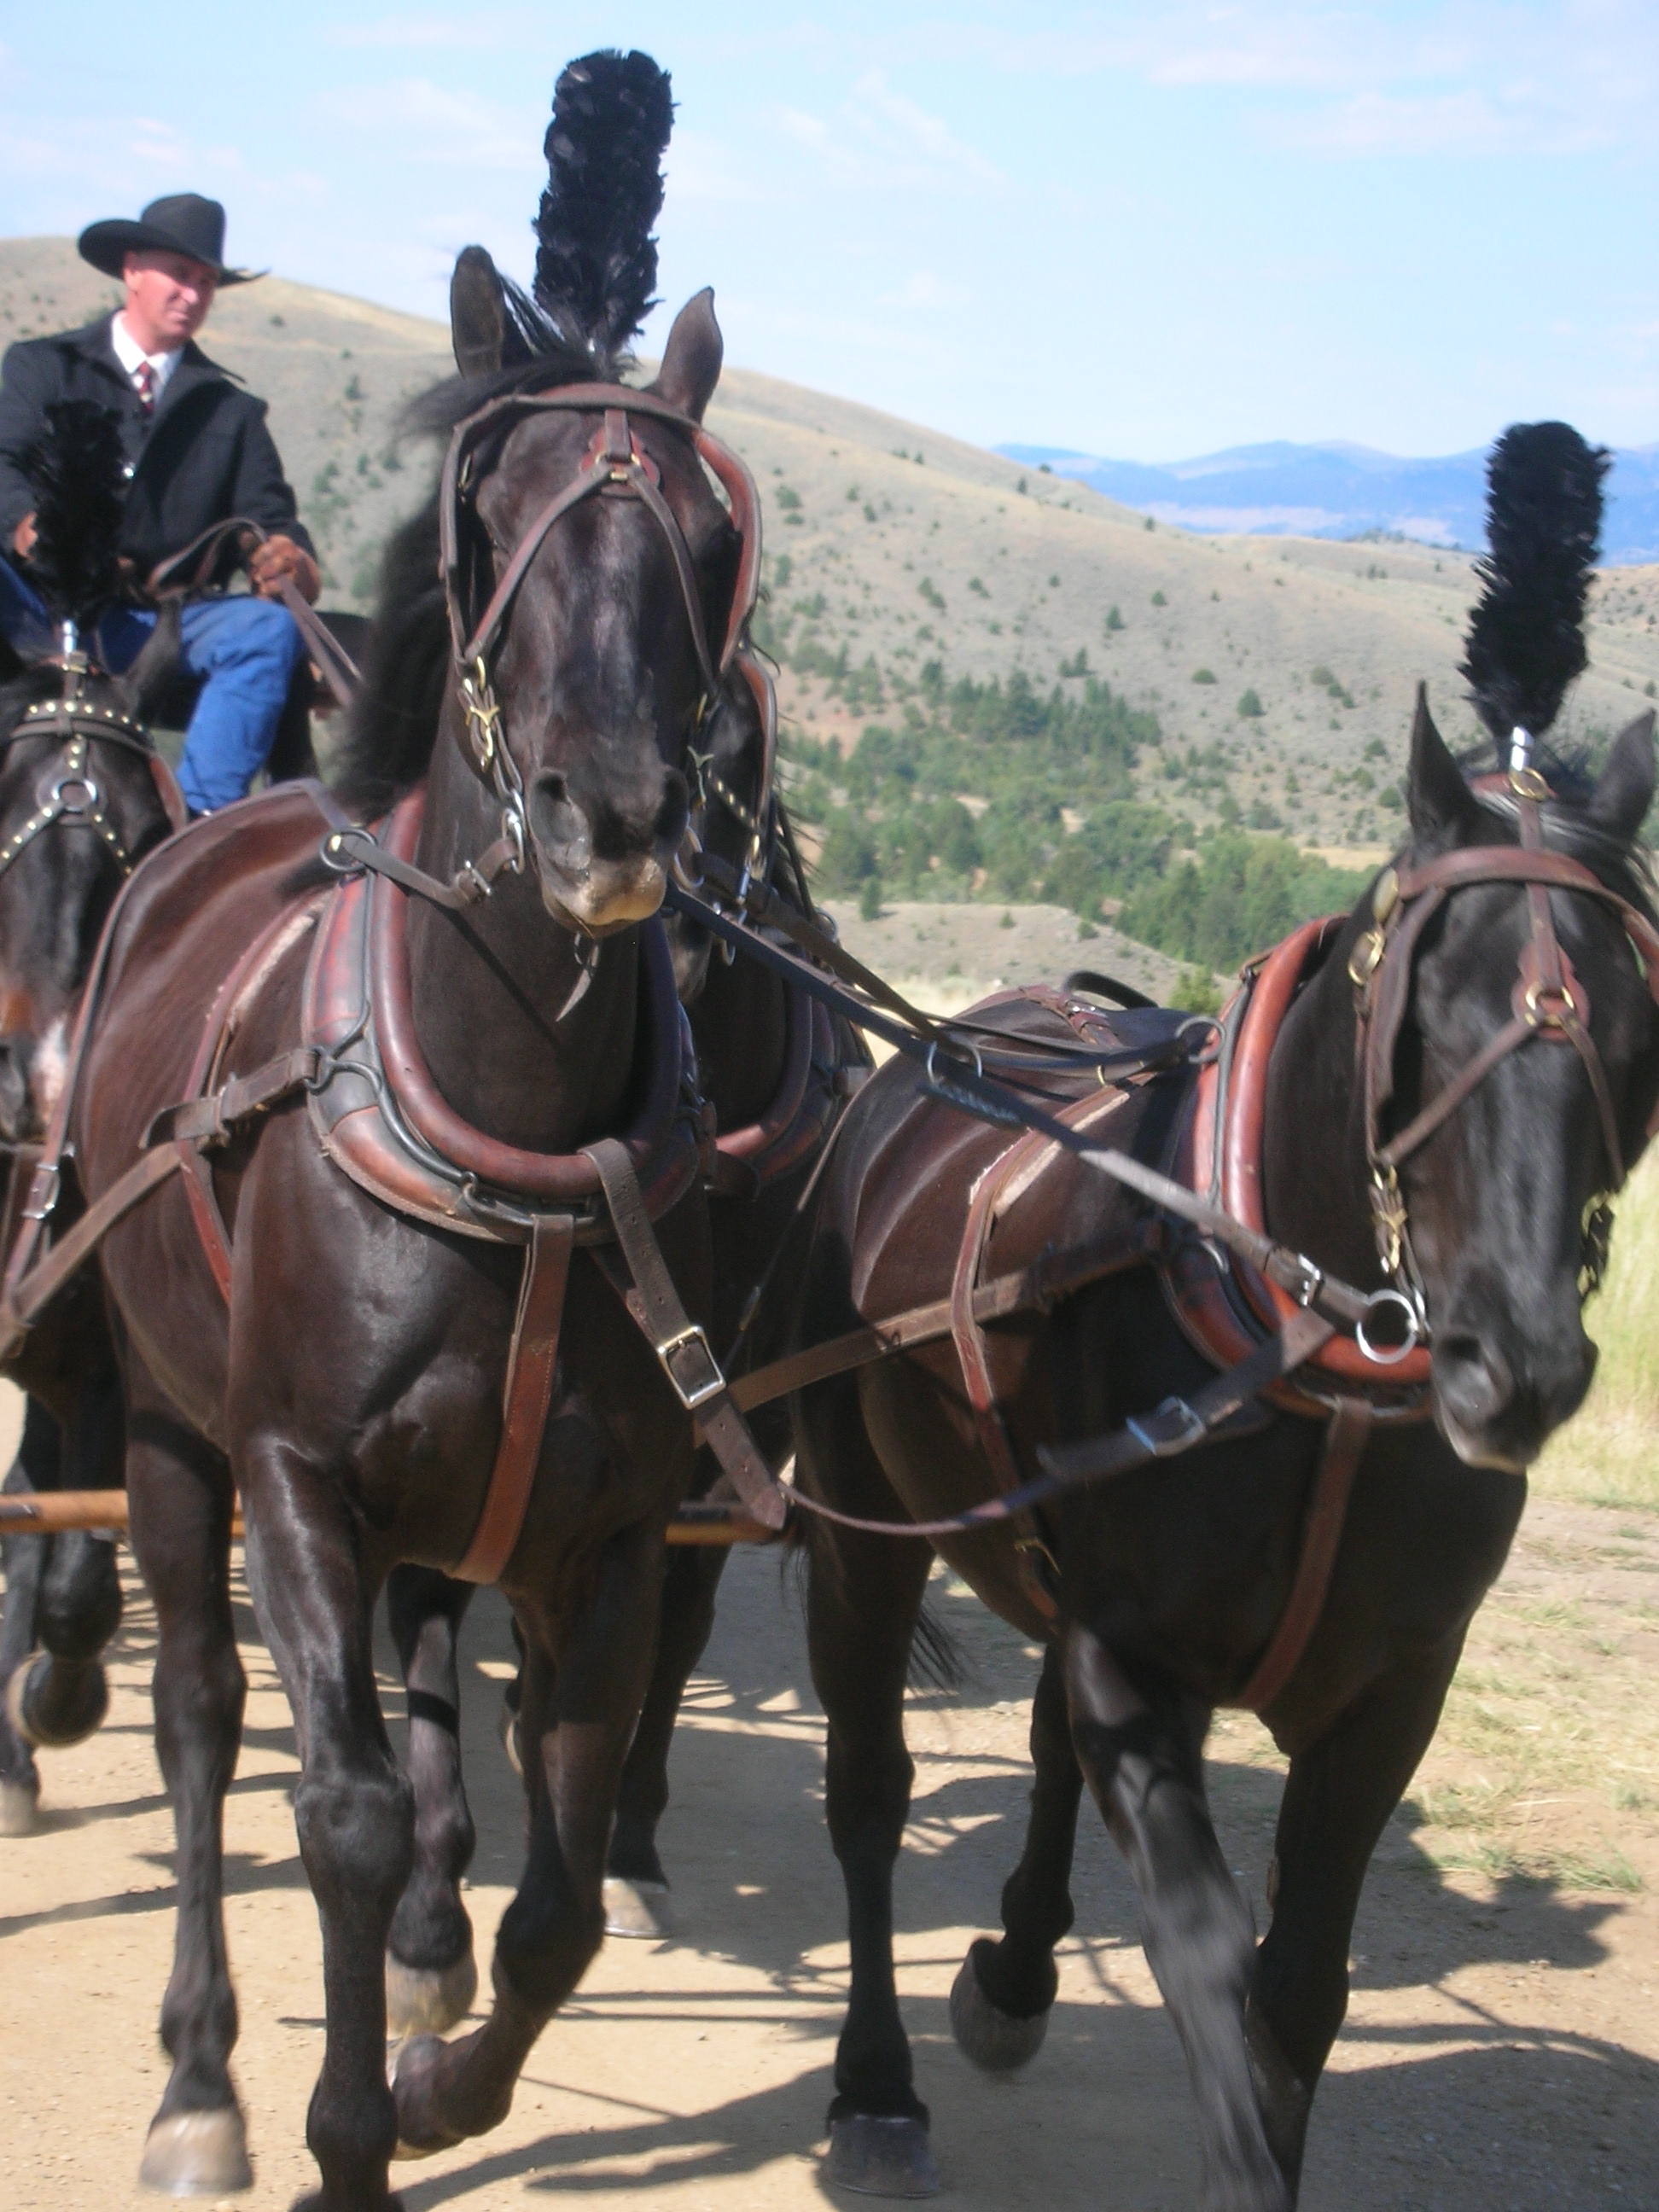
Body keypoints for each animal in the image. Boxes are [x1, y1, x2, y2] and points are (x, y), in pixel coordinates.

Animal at [787, 422, 1659, 2203]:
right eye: (1420, 1005)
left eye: (1630, 1024)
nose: (1512, 1365)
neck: (1315, 1355)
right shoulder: (1139, 1668)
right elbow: (1198, 1962)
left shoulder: (1386, 1697)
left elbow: (1296, 1990)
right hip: (860, 1528)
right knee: (868, 1789)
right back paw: (878, 2073)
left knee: (1035, 1744)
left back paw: (1014, 1970)